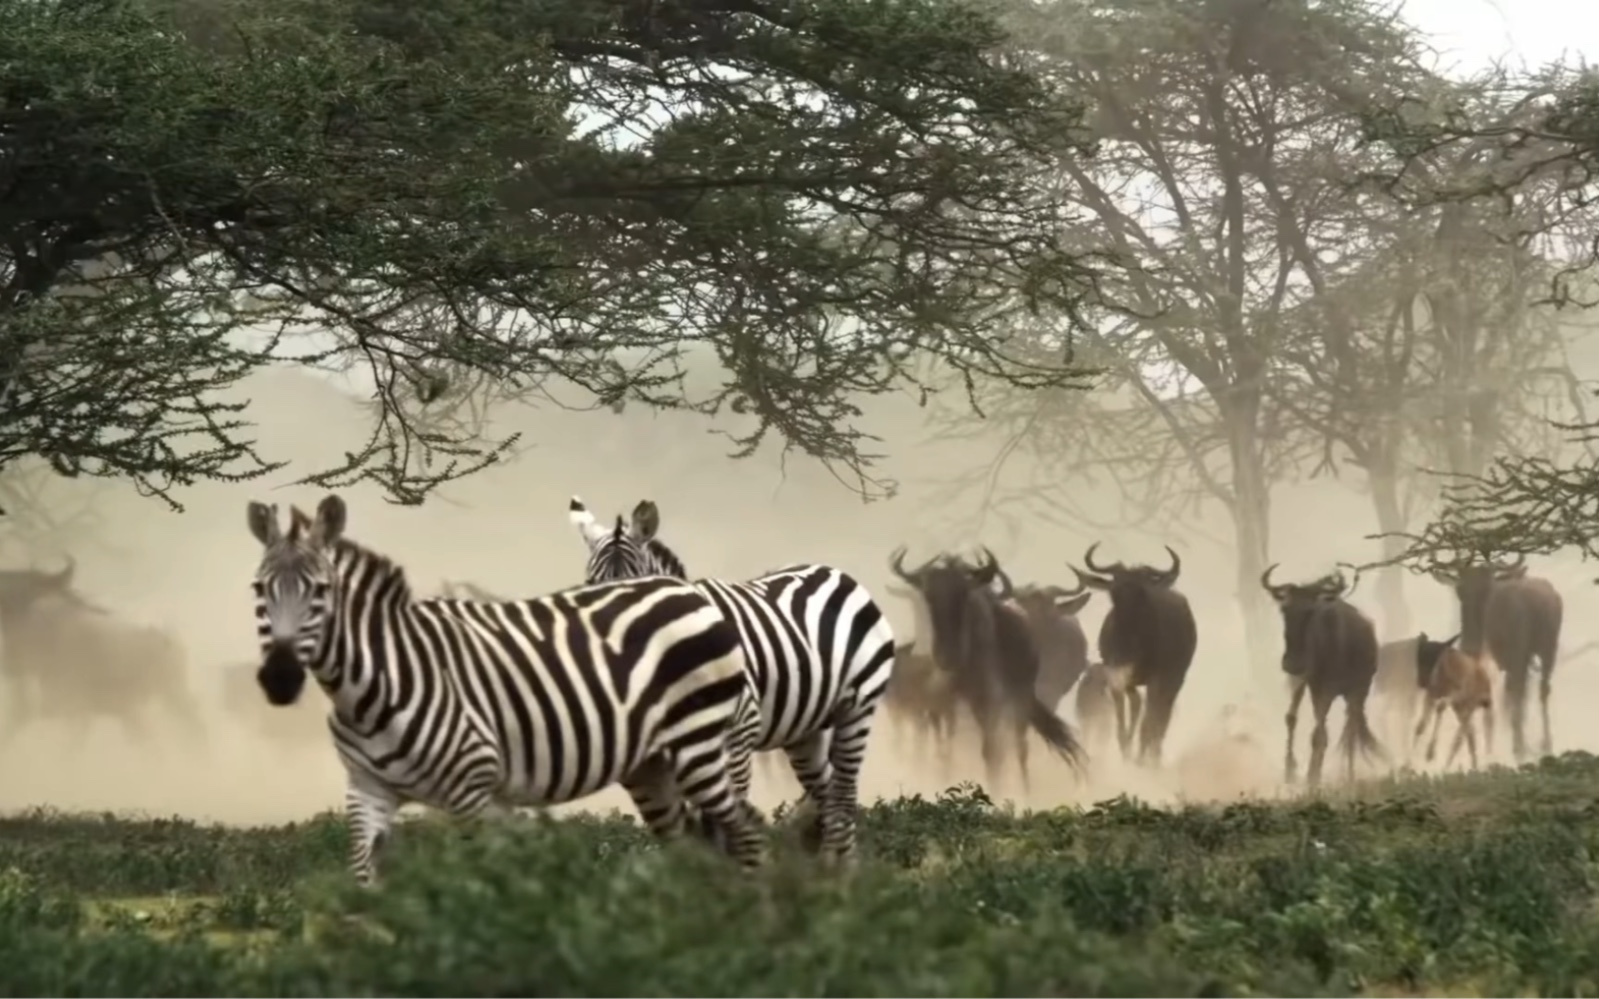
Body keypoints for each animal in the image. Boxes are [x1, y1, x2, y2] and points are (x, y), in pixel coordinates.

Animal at [249, 492, 767, 882]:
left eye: (321, 591)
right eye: (258, 589)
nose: (279, 680)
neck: (377, 682)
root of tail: (683, 592)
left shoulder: (472, 787)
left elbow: (481, 883)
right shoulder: (367, 790)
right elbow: (362, 881)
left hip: (705, 746)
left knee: (745, 827)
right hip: (653, 765)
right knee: (694, 841)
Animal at [569, 495, 901, 863]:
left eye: (639, 586)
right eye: (589, 585)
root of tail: (831, 570)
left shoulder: (740, 728)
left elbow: (723, 819)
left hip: (858, 706)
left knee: (844, 794)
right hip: (805, 730)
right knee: (828, 793)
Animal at [1419, 629, 1490, 770]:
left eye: (1437, 657)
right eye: (1419, 656)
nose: (1421, 682)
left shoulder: (1456, 694)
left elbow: (1440, 707)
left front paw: (1430, 753)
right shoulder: (1431, 694)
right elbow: (1421, 726)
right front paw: (1405, 766)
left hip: (1468, 706)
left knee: (1461, 738)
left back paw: (1447, 769)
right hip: (1460, 708)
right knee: (1470, 735)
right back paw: (1472, 769)